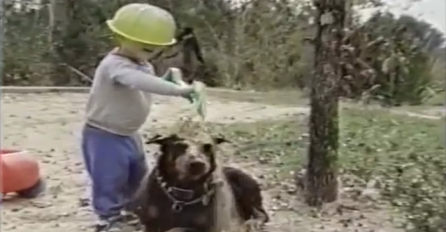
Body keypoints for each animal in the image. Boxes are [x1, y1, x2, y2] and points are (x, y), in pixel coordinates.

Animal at [129, 132, 268, 232]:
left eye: (208, 147)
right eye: (180, 146)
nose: (198, 163)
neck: (183, 192)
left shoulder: (207, 227)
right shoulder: (151, 224)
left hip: (244, 183)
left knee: (262, 213)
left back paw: (253, 223)